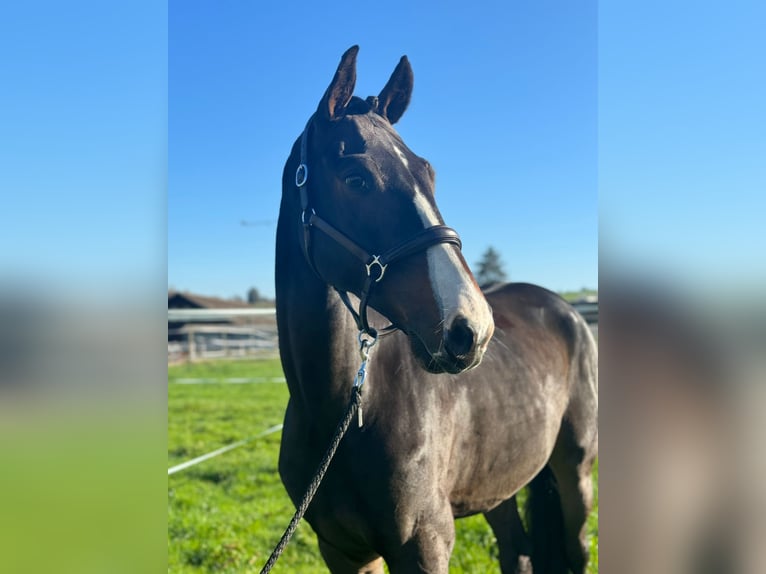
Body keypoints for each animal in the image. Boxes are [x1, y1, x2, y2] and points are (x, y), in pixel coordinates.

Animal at [276, 47, 600, 572]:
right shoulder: (342, 551)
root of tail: (565, 310)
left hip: (576, 474)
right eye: (355, 178)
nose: (472, 328)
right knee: (518, 551)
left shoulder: (423, 546)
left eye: (428, 173)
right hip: (498, 485)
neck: (341, 411)